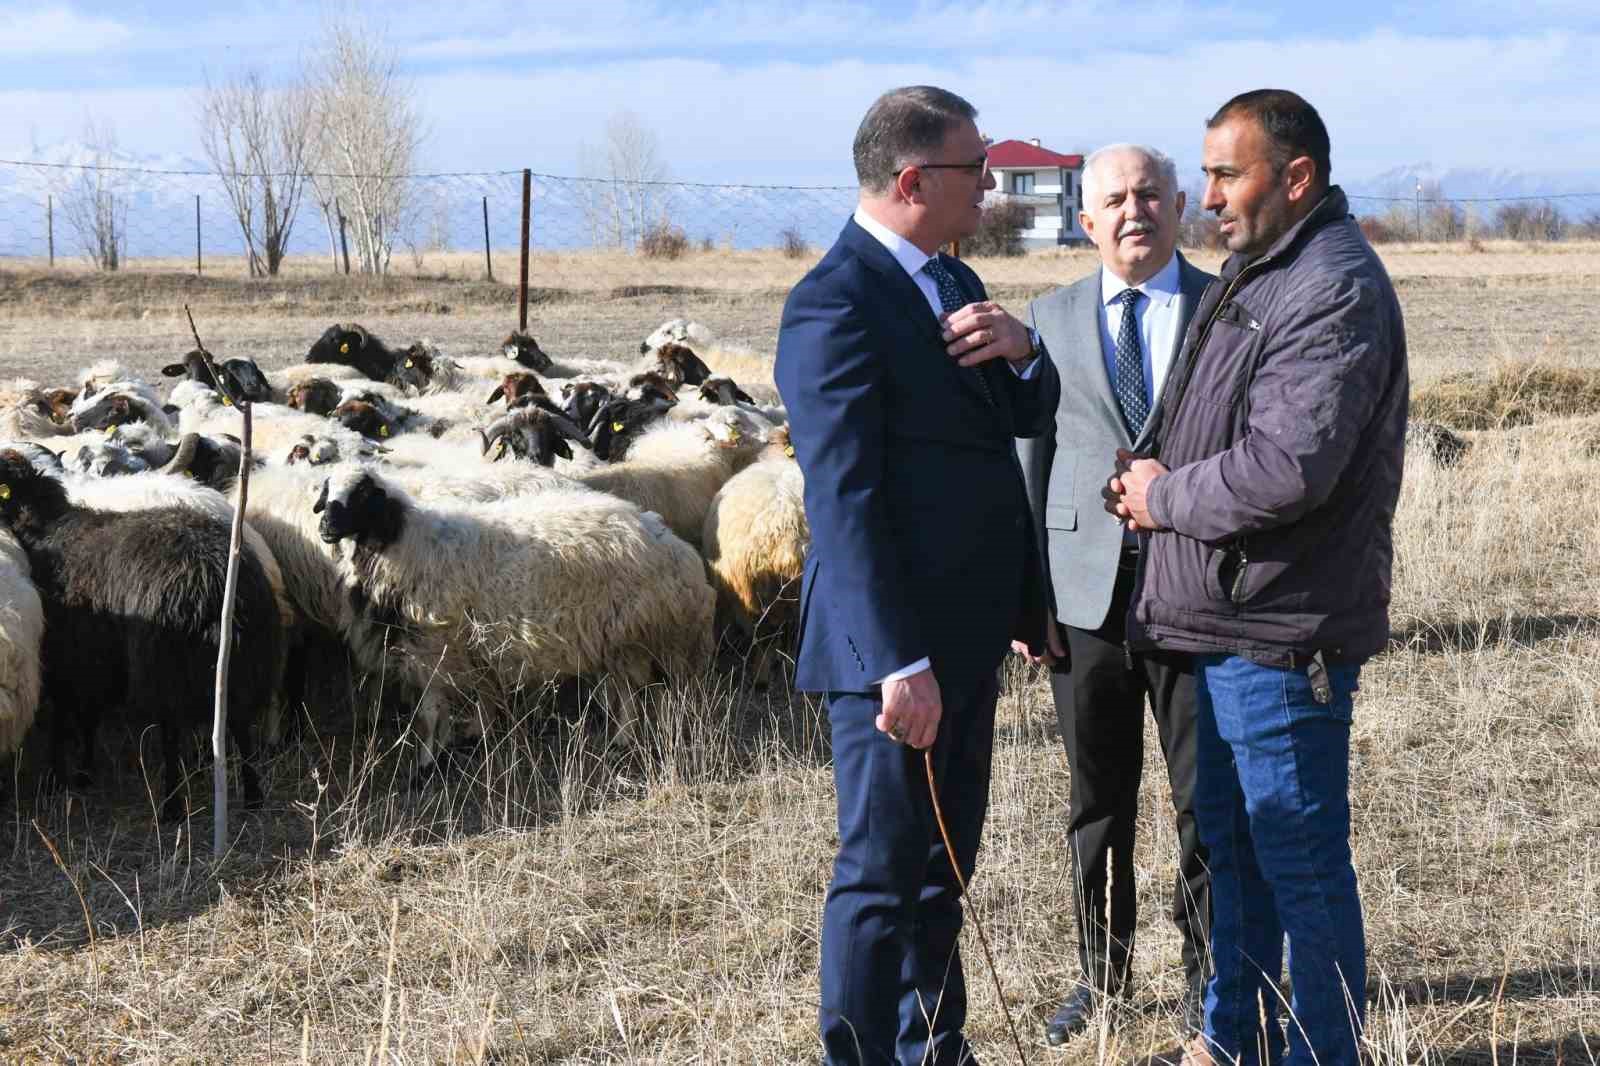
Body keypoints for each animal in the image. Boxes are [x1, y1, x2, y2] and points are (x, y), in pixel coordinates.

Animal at [0, 448, 283, 813]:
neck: (49, 528)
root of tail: (217, 579)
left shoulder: (74, 657)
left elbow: (74, 718)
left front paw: (66, 775)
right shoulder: (102, 661)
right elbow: (88, 717)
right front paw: (83, 771)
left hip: (163, 665)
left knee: (172, 732)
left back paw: (172, 805)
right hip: (245, 661)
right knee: (239, 722)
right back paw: (252, 796)